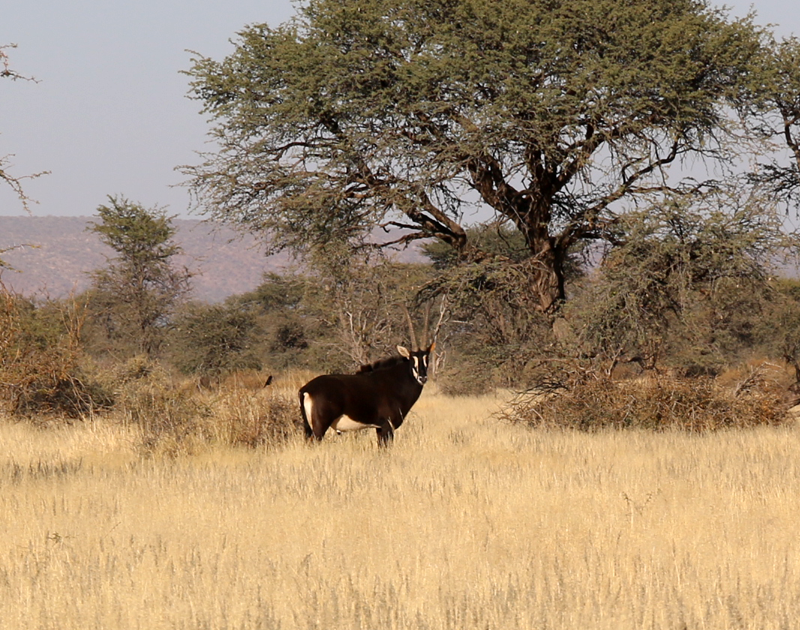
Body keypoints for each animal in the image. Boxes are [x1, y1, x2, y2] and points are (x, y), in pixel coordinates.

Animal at [298, 344, 434, 446]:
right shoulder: (387, 426)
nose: (422, 378)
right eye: (412, 360)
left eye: (427, 359)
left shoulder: (379, 427)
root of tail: (306, 388)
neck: (394, 381)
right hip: (320, 426)